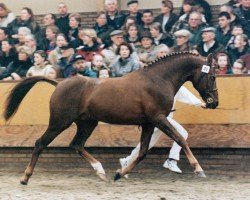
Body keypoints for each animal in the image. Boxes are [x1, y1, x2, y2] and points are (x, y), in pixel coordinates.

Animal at [3, 51, 219, 184]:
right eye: (213, 76)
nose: (214, 102)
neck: (158, 80)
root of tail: (59, 84)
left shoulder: (148, 124)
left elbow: (142, 152)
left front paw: (119, 174)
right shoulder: (158, 119)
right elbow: (180, 138)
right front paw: (199, 169)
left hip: (87, 123)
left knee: (77, 144)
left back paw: (101, 171)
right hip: (59, 122)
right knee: (40, 143)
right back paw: (25, 178)